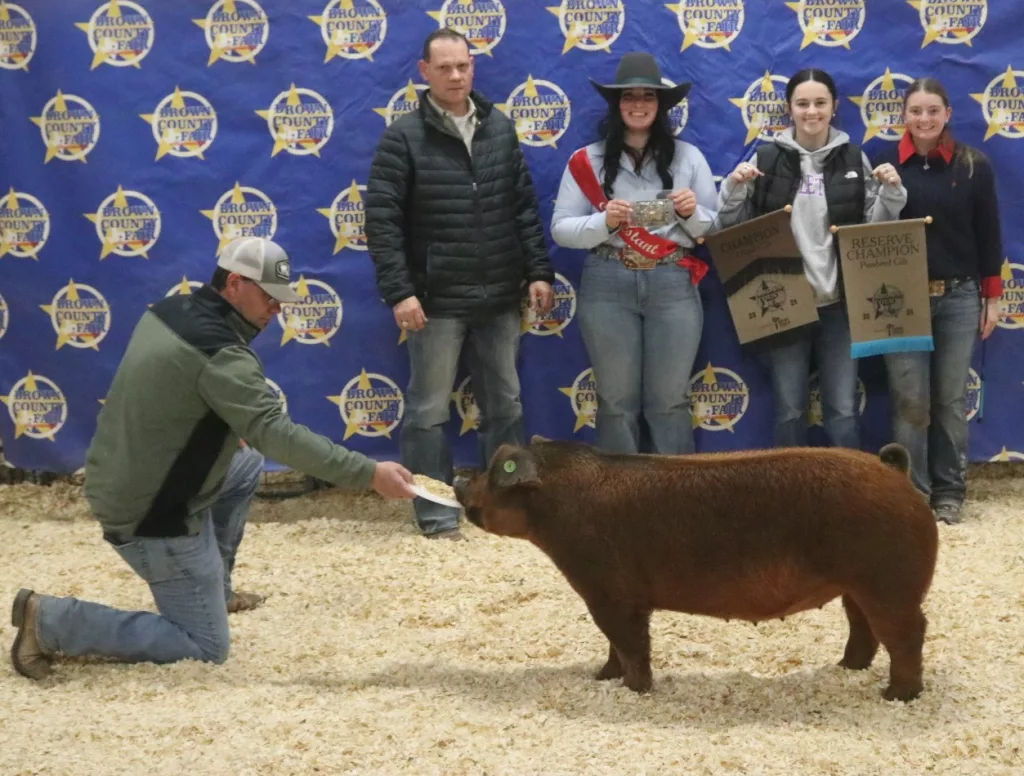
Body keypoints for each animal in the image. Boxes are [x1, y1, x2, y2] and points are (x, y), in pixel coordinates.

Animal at [460, 438, 937, 704]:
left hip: (890, 582)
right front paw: (601, 676)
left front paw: (634, 690)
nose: (460, 478)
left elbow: (629, 642)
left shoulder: (611, 593)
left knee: (907, 633)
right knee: (864, 628)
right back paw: (845, 669)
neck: (557, 504)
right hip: (857, 586)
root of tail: (895, 471)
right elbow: (614, 645)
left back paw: (896, 696)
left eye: (493, 472)